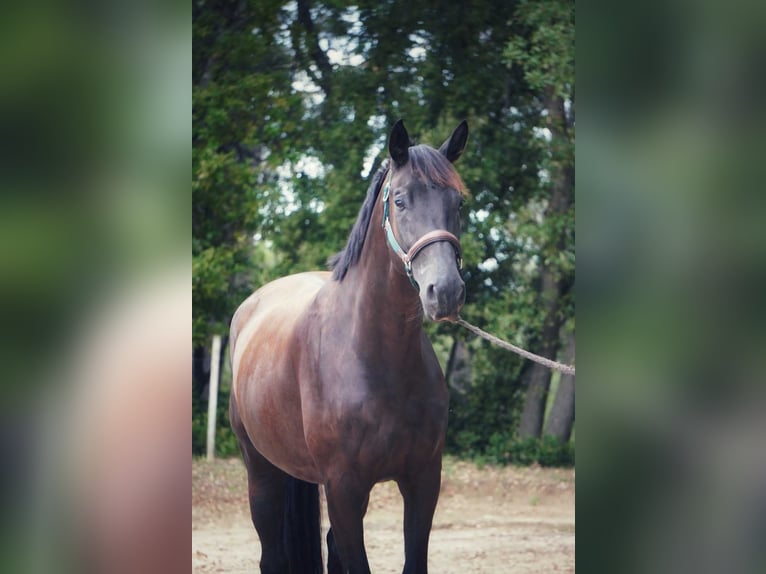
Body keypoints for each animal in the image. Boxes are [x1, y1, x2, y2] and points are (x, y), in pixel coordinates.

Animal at [229, 119, 469, 574]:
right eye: (400, 200)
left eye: (459, 203)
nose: (445, 291)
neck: (376, 358)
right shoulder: (343, 487)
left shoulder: (423, 481)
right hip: (262, 472)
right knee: (272, 555)